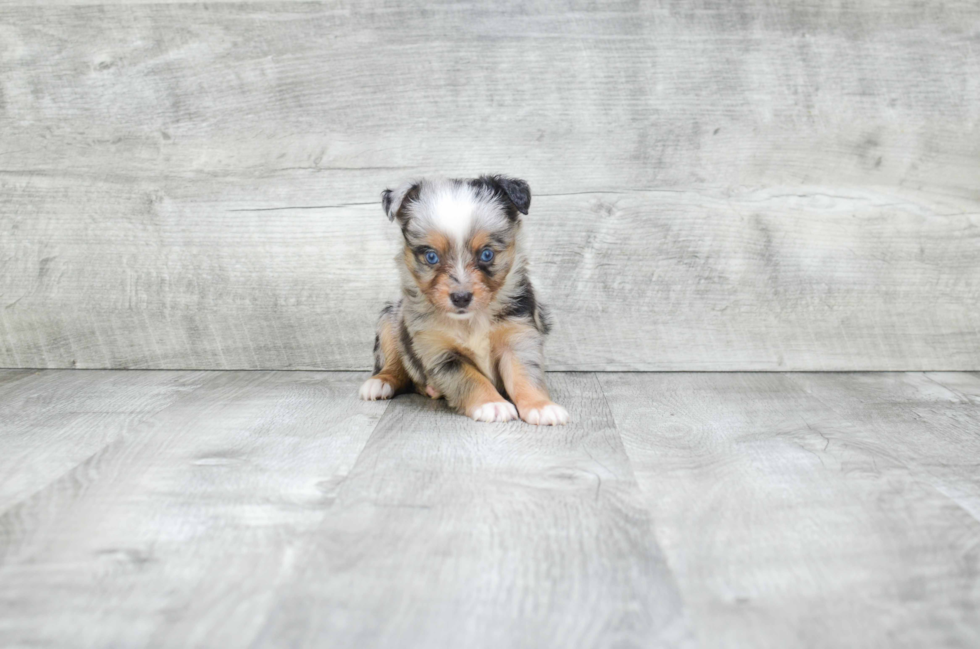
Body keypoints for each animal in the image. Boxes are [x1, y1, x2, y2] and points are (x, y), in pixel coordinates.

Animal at [362, 175, 572, 426]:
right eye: (431, 257)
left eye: (486, 254)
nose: (461, 297)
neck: (472, 320)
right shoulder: (441, 353)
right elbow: (472, 379)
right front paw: (492, 404)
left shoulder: (519, 336)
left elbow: (524, 375)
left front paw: (541, 406)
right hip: (389, 319)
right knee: (394, 364)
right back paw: (380, 381)